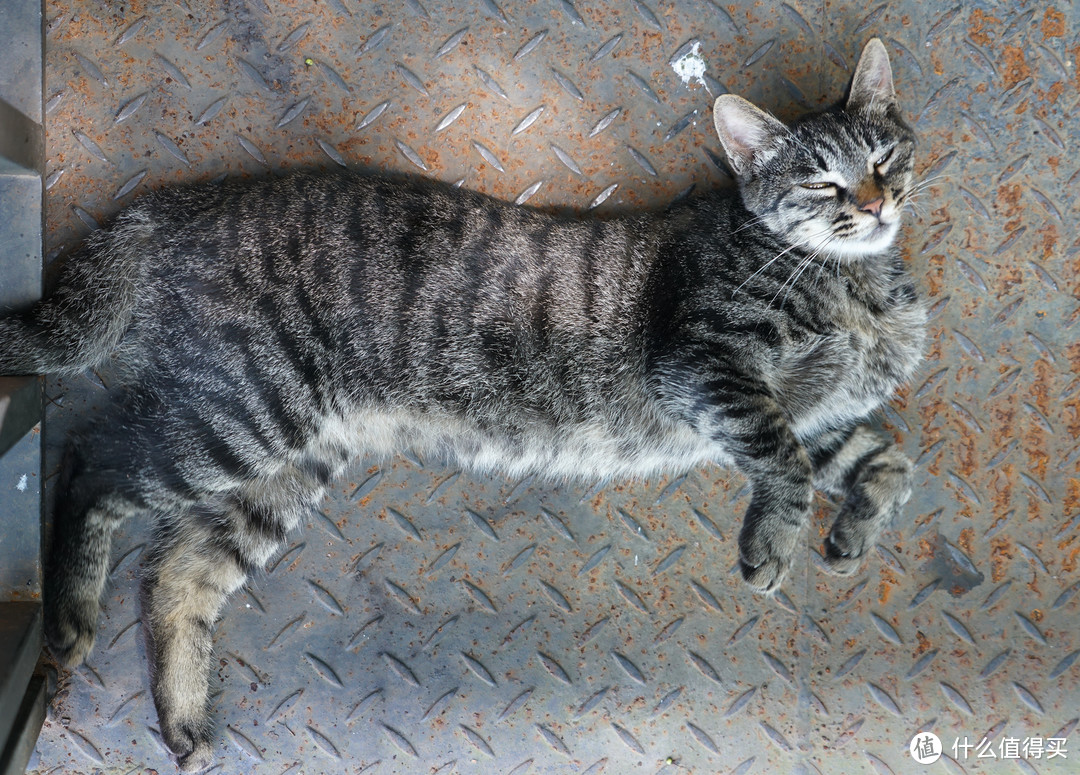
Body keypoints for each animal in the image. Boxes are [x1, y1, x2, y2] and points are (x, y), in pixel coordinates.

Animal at [2, 41, 928, 772]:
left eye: (885, 154)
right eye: (822, 181)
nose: (875, 202)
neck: (857, 287)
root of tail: (174, 207)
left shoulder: (816, 412)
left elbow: (883, 457)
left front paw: (852, 534)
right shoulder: (707, 366)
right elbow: (784, 461)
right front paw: (772, 545)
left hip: (279, 465)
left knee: (177, 572)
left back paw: (185, 718)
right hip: (240, 414)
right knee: (90, 459)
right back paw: (68, 620)